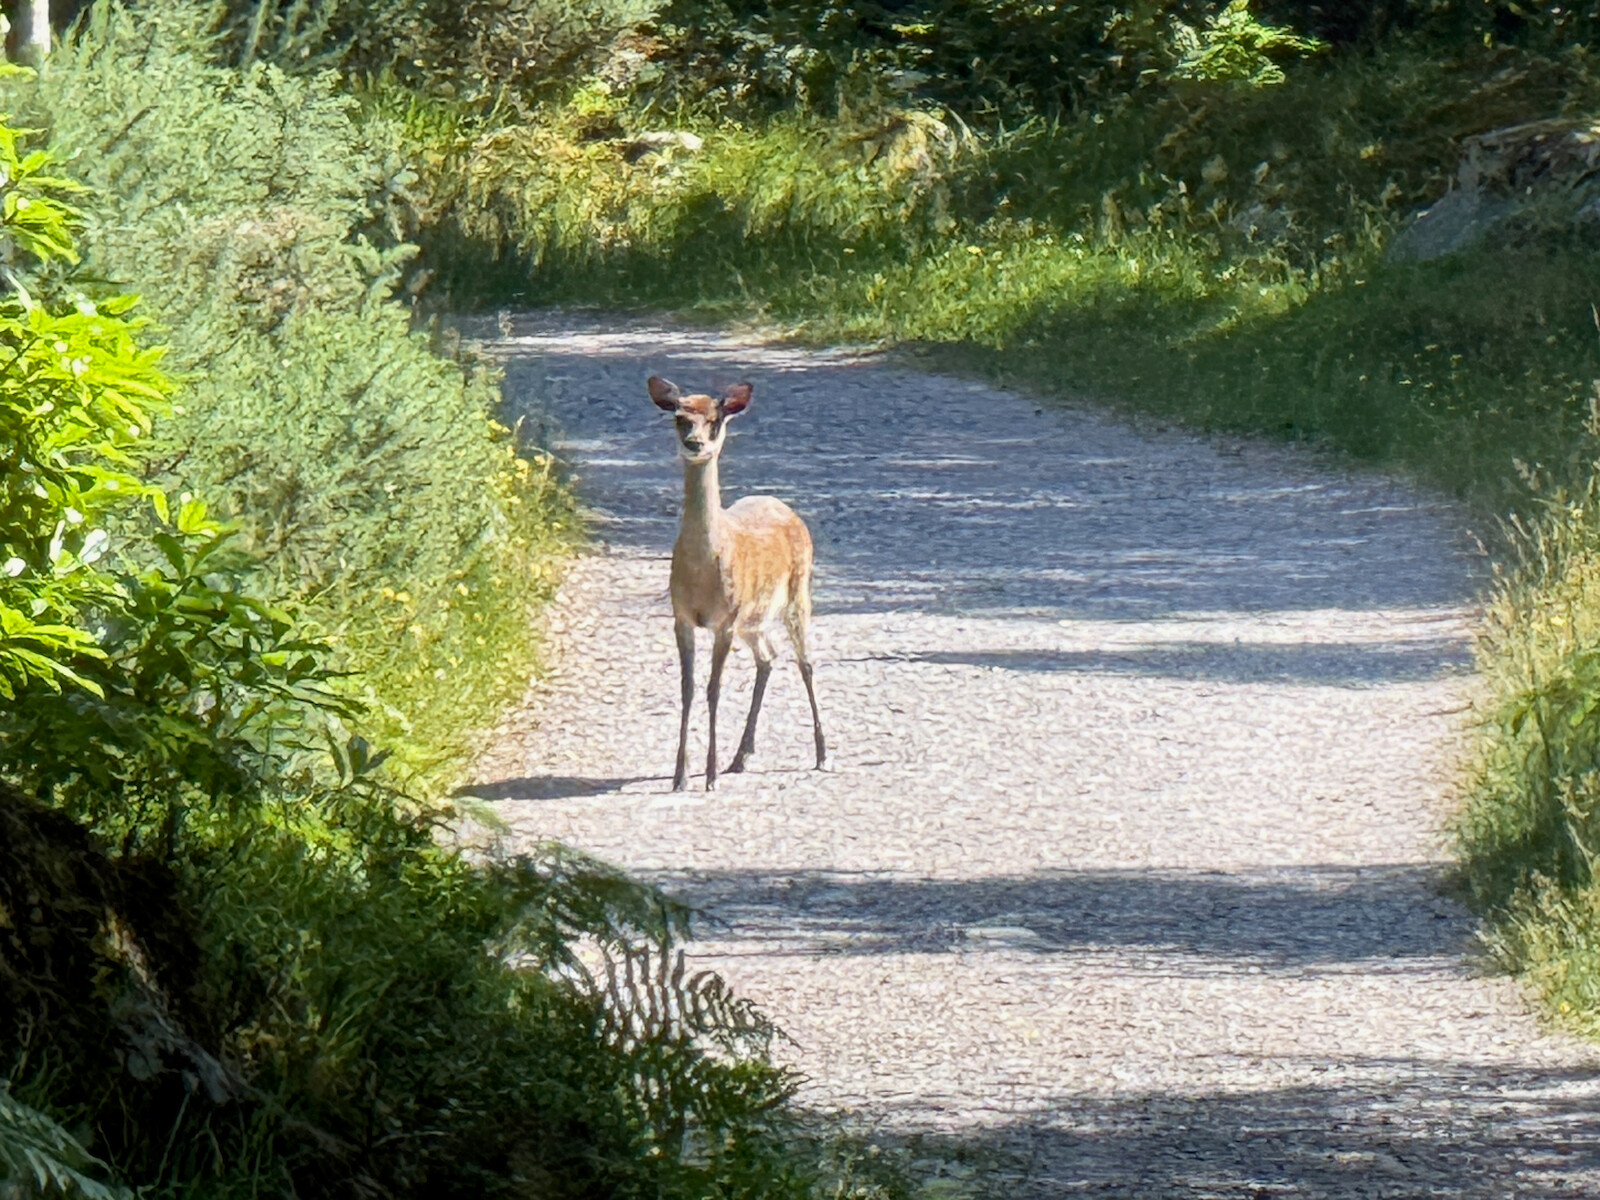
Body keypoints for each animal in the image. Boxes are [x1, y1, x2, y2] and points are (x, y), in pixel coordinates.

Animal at [648, 374, 827, 792]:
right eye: (679, 417)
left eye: (715, 420)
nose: (695, 443)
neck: (703, 570)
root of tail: (785, 507)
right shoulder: (681, 617)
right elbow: (687, 688)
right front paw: (680, 775)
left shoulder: (724, 621)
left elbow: (714, 690)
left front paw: (710, 775)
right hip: (754, 619)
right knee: (768, 658)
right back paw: (741, 756)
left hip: (797, 594)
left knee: (805, 662)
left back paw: (822, 753)